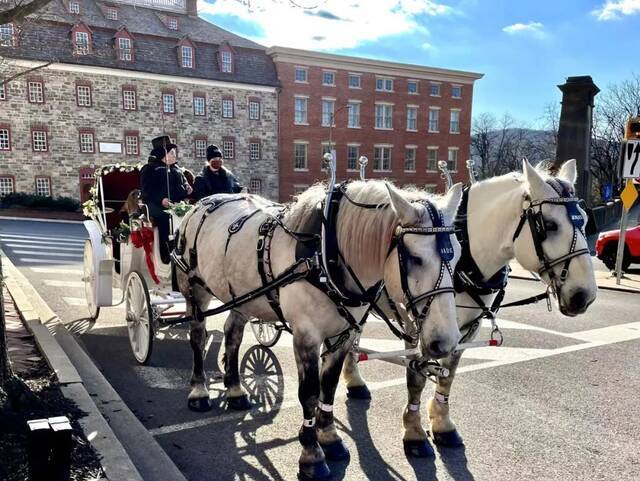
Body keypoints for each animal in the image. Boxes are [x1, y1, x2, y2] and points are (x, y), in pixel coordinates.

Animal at [175, 178, 464, 478]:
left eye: (458, 256)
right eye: (415, 258)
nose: (447, 341)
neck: (325, 254)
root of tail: (202, 203)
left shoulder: (343, 335)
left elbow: (330, 385)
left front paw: (330, 438)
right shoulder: (306, 336)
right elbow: (310, 394)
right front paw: (311, 454)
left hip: (243, 297)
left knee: (233, 334)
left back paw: (235, 390)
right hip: (194, 290)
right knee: (197, 337)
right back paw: (199, 391)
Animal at [342, 159, 596, 456]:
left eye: (586, 221)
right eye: (550, 225)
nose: (584, 295)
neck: (468, 255)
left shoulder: (465, 328)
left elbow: (448, 374)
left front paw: (442, 424)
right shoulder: (417, 324)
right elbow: (416, 376)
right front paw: (414, 432)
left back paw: (354, 380)